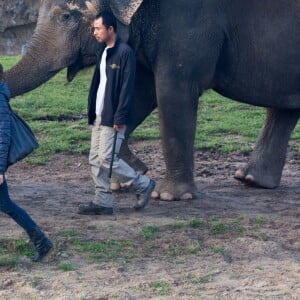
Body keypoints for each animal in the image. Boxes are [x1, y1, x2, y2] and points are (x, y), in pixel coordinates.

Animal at [3, 1, 298, 200]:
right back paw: (251, 180)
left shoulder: (189, 23)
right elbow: (140, 92)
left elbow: (171, 91)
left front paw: (170, 196)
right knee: (284, 109)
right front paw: (126, 178)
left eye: (67, 15)